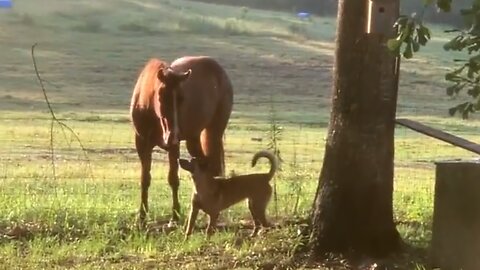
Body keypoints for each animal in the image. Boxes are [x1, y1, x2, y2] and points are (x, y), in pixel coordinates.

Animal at [128, 55, 233, 226]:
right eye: (161, 97)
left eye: (182, 98)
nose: (174, 133)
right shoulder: (142, 144)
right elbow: (145, 179)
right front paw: (142, 217)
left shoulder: (173, 146)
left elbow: (173, 179)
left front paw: (175, 217)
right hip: (193, 139)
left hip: (214, 132)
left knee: (214, 167)